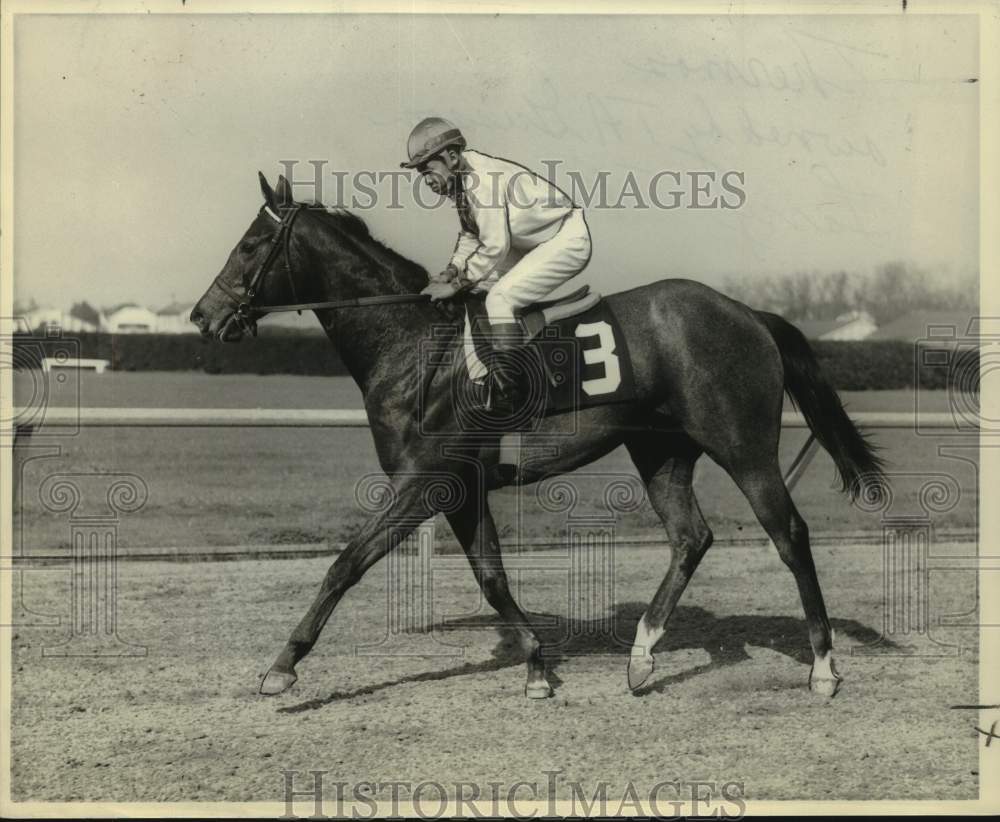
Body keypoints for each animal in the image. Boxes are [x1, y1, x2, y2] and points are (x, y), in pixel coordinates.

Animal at [191, 174, 888, 700]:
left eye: (251, 244)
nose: (203, 315)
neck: (414, 348)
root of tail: (750, 313)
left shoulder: (421, 482)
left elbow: (345, 565)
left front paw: (282, 666)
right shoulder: (461, 488)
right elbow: (492, 578)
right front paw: (534, 664)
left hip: (743, 447)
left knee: (789, 534)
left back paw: (822, 668)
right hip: (661, 451)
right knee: (692, 538)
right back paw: (641, 656)